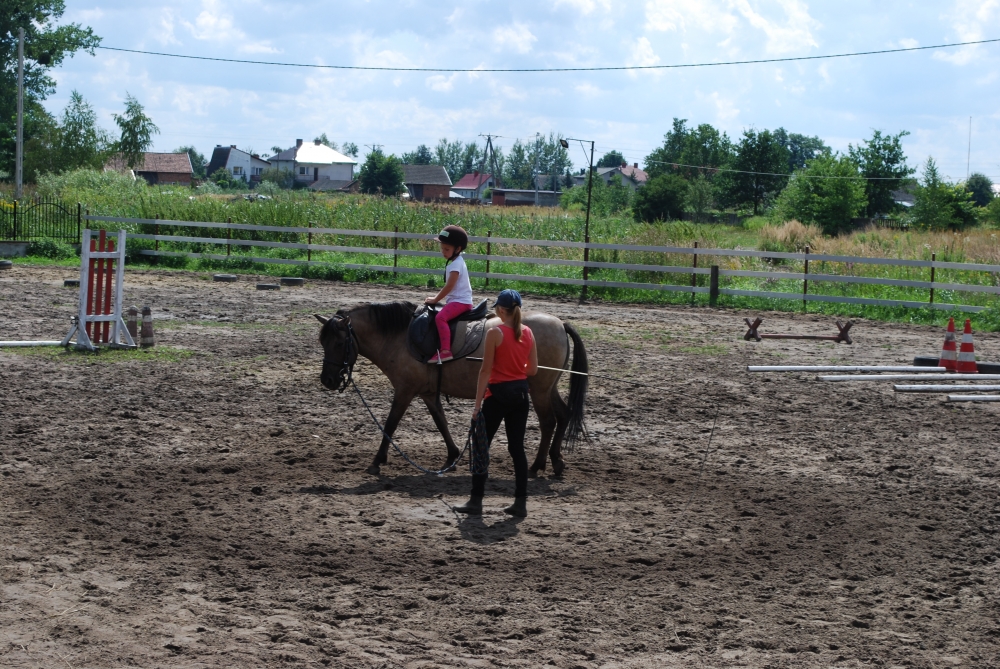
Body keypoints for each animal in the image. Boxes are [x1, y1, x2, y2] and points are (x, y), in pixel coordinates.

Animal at [316, 301, 588, 477]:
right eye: (322, 342)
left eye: (339, 343)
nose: (327, 379)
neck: (400, 336)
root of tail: (560, 324)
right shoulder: (427, 393)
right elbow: (441, 421)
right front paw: (453, 455)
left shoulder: (405, 391)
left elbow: (391, 424)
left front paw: (377, 461)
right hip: (548, 388)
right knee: (563, 415)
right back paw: (556, 461)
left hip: (539, 390)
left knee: (548, 421)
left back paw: (537, 465)